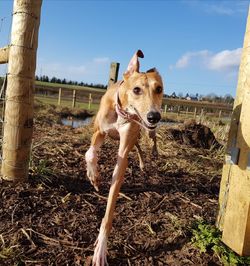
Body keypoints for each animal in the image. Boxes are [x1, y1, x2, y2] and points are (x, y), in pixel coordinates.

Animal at [85, 50, 164, 266]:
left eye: (159, 89)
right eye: (137, 90)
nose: (154, 116)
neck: (123, 113)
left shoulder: (124, 149)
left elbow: (111, 202)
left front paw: (101, 248)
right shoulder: (99, 132)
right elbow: (89, 153)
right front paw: (94, 176)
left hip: (145, 131)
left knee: (150, 141)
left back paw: (151, 156)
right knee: (138, 147)